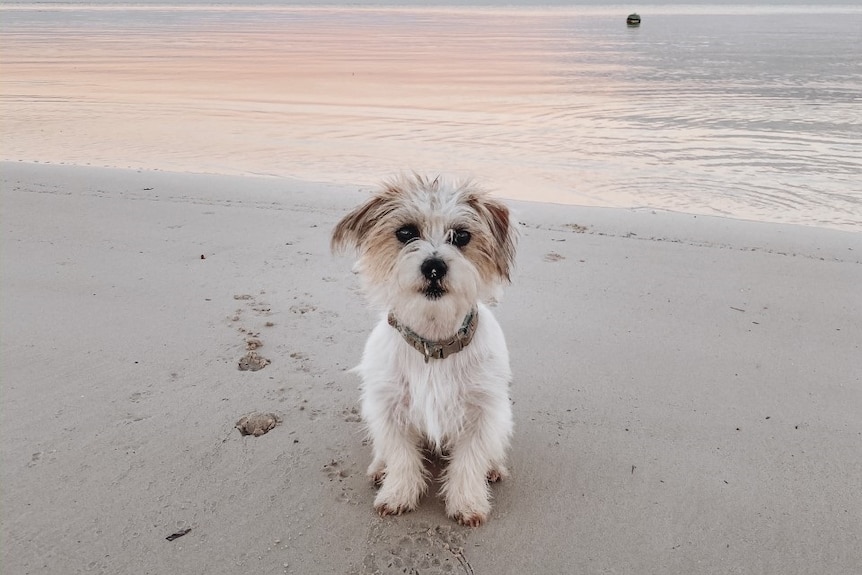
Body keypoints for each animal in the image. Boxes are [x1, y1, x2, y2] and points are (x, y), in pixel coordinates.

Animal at [332, 172, 520, 528]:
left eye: (461, 236)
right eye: (406, 233)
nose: (434, 266)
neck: (433, 344)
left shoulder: (481, 413)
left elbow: (469, 460)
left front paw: (467, 502)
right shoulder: (389, 409)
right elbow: (402, 457)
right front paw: (397, 494)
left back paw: (493, 468)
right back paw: (380, 468)